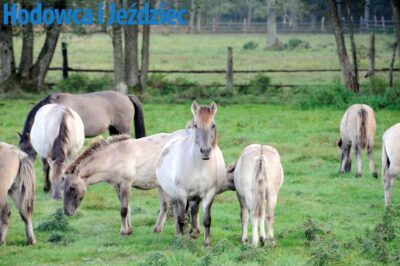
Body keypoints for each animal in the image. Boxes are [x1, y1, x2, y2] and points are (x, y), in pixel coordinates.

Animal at [156, 101, 227, 245]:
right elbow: (181, 218)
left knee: (194, 211)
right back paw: (178, 235)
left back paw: (194, 233)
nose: (205, 151)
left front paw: (207, 242)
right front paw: (181, 239)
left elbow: (206, 219)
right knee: (177, 213)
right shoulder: (181, 194)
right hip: (173, 195)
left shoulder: (209, 194)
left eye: (213, 125)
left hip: (196, 197)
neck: (199, 167)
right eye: (196, 125)